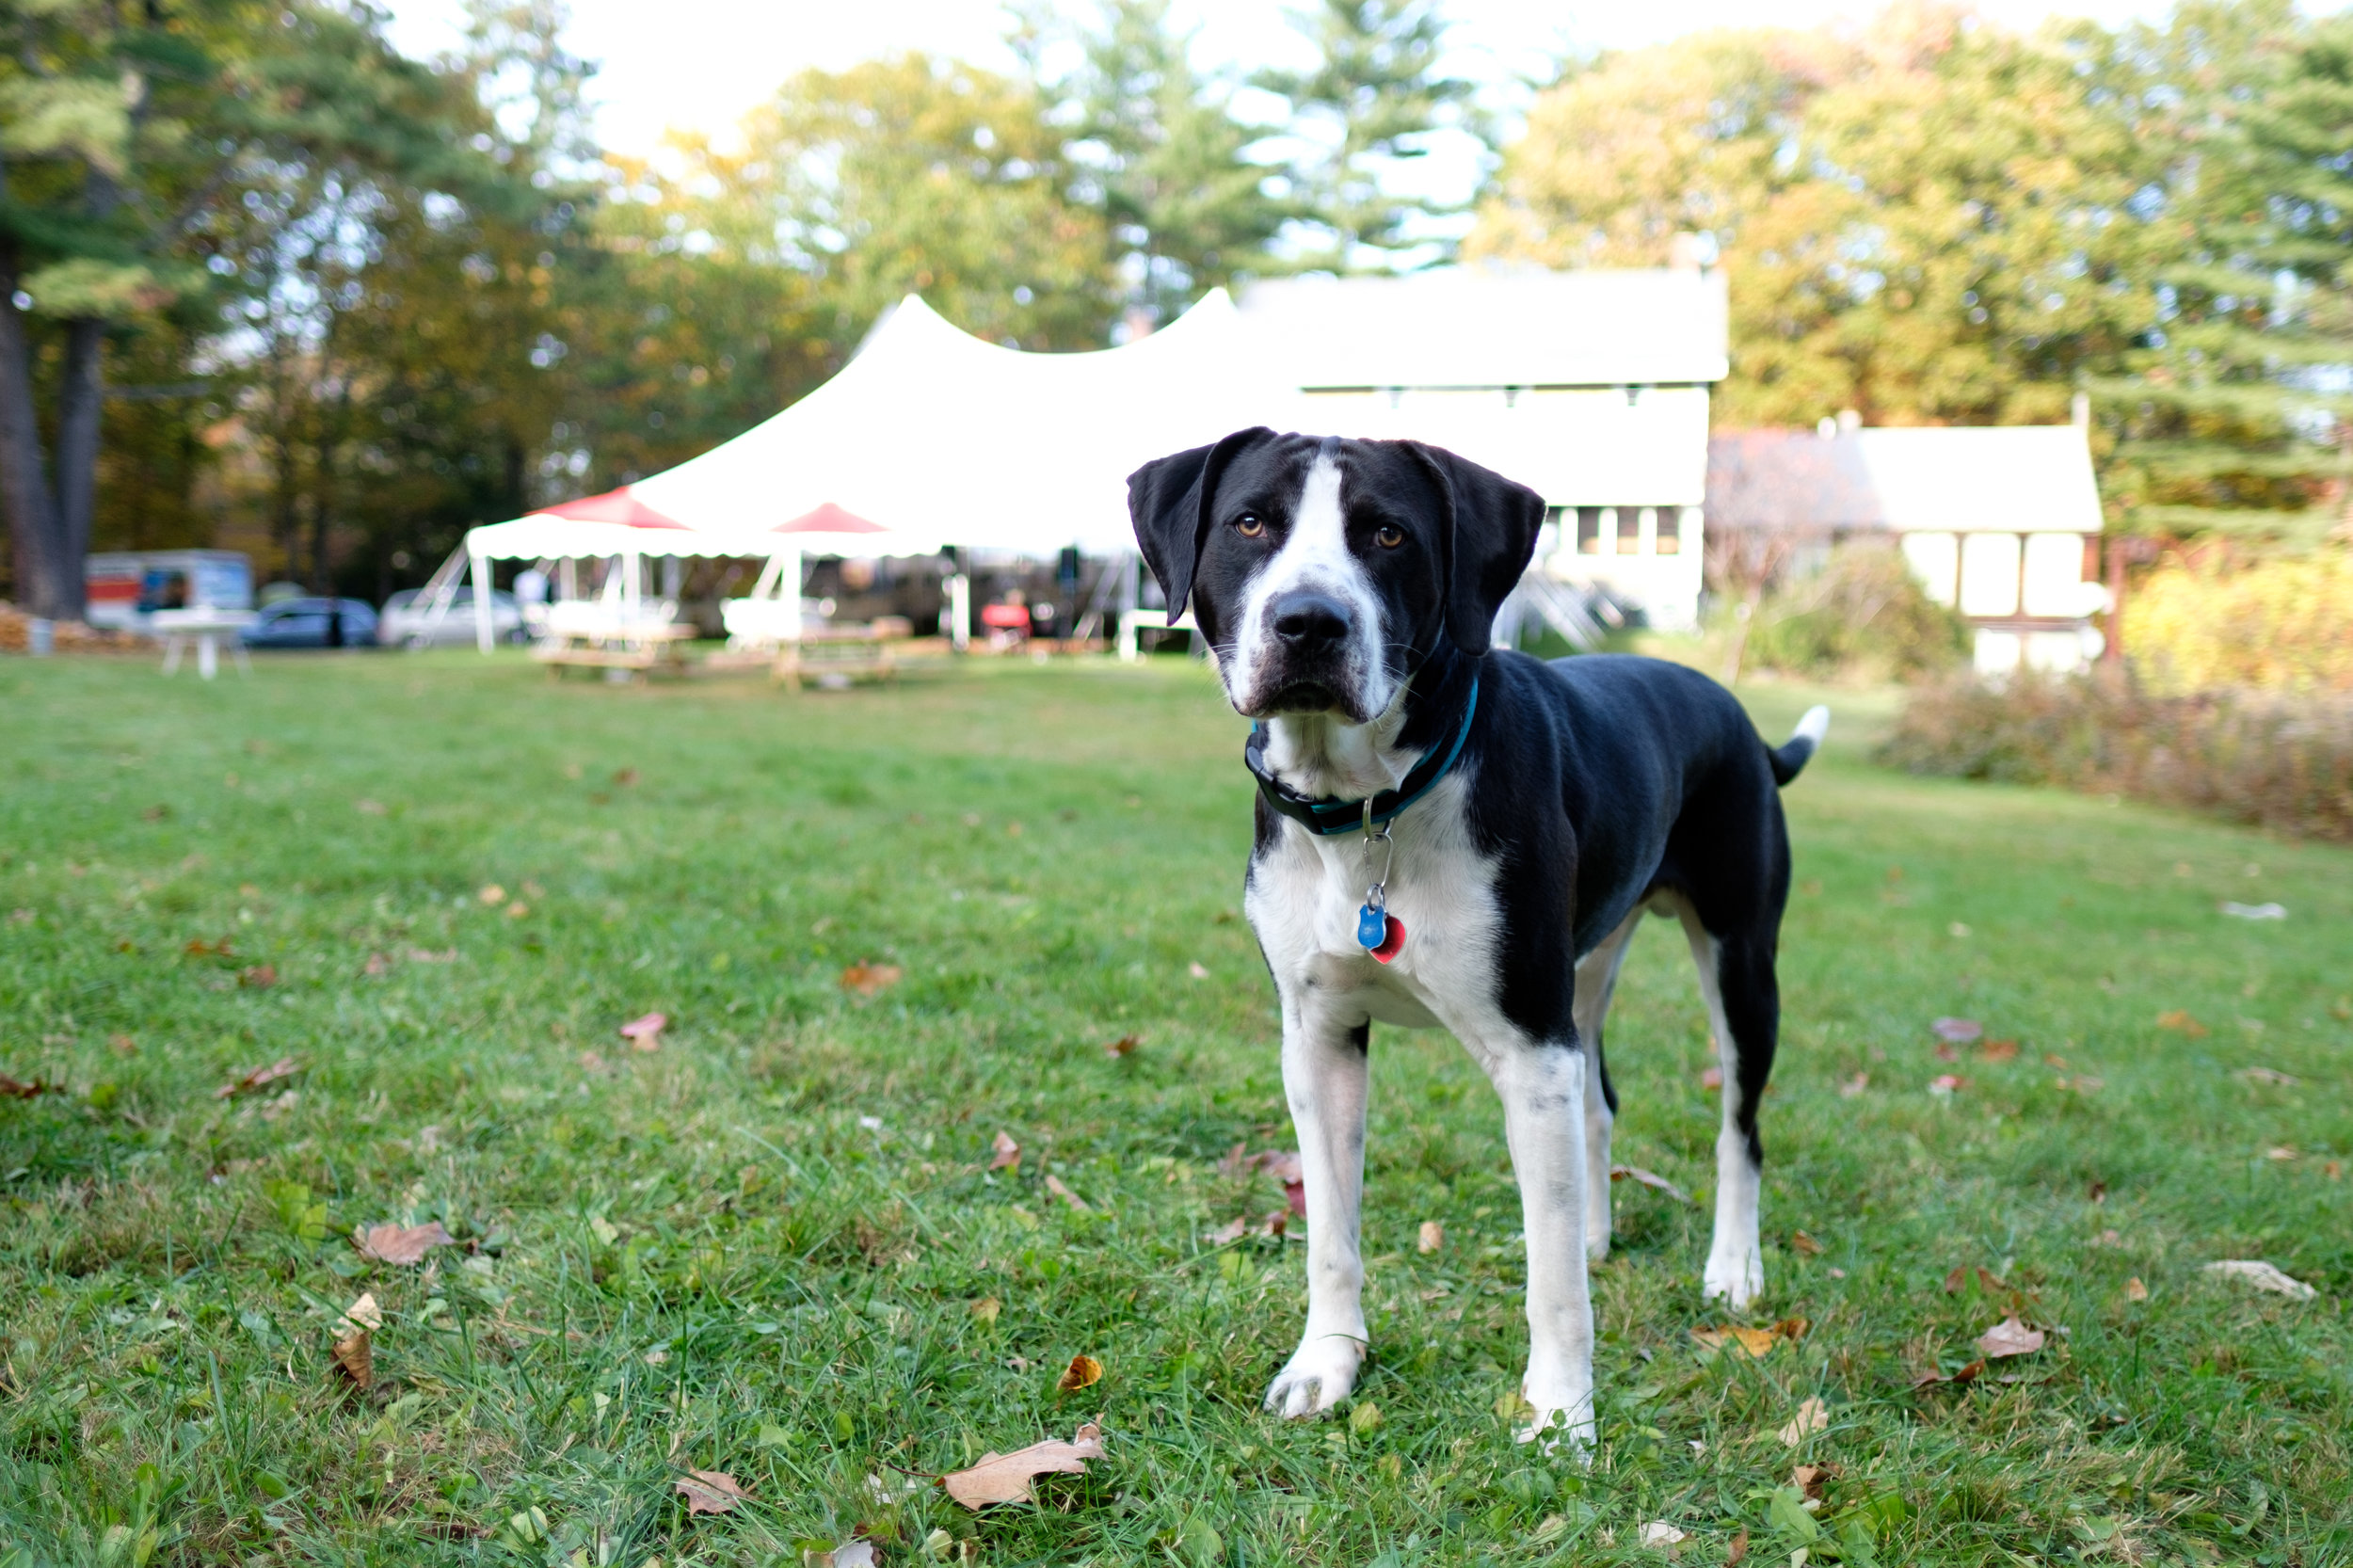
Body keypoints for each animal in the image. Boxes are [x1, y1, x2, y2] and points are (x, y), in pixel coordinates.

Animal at [1129, 424, 1826, 1440]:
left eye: (1388, 534)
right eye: (1250, 522)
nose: (1309, 622)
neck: (1371, 804)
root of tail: (1735, 711)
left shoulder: (1531, 1048)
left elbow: (1553, 1282)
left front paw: (1560, 1413)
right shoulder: (1318, 1038)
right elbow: (1330, 1229)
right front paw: (1327, 1363)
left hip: (1741, 961)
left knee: (1740, 1129)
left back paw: (1732, 1269)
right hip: (1588, 966)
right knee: (1599, 1101)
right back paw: (1597, 1229)